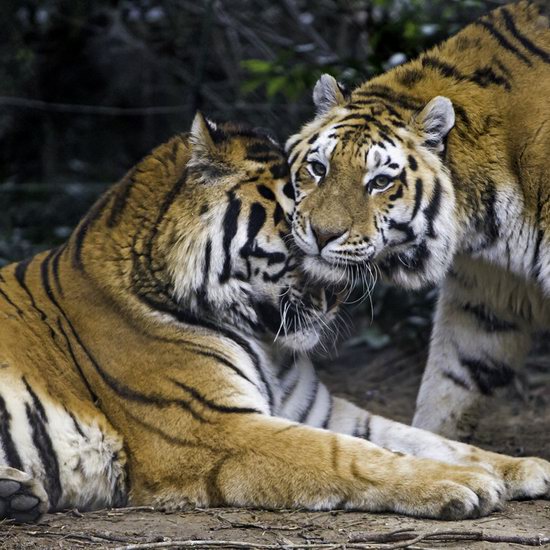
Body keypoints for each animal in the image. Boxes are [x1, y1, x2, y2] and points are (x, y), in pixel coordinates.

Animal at [1, 112, 550, 528]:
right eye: (296, 221)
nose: (342, 295)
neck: (267, 341)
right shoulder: (214, 427)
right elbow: (347, 454)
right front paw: (460, 483)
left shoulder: (318, 411)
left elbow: (427, 440)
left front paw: (525, 466)